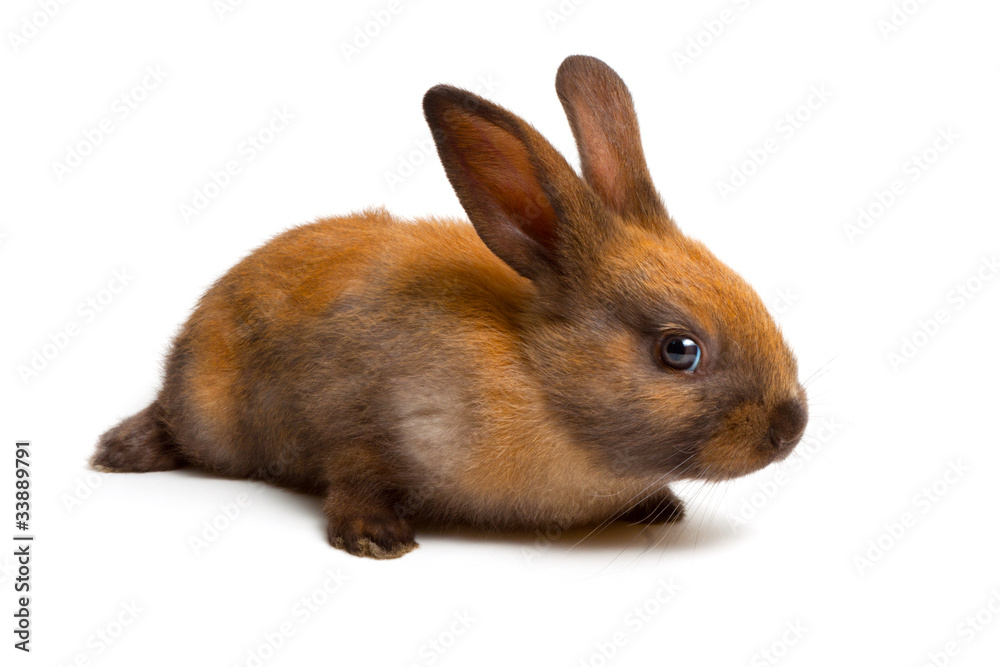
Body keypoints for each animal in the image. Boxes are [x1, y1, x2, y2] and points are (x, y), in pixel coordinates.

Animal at [92, 56, 807, 559]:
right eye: (679, 351)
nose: (791, 425)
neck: (537, 377)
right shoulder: (363, 422)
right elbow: (354, 475)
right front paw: (376, 539)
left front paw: (659, 507)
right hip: (208, 412)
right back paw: (119, 450)